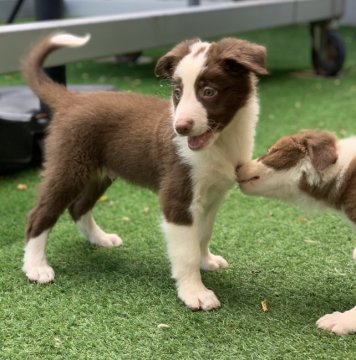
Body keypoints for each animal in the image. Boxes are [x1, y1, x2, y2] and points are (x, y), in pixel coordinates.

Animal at [21, 32, 268, 310]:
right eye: (177, 93)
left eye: (208, 92)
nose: (180, 128)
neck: (220, 141)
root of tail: (73, 99)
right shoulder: (177, 198)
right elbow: (187, 251)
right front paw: (195, 293)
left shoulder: (213, 196)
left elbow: (203, 234)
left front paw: (206, 261)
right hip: (69, 166)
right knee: (40, 215)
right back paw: (35, 267)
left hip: (99, 173)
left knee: (78, 207)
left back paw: (100, 239)